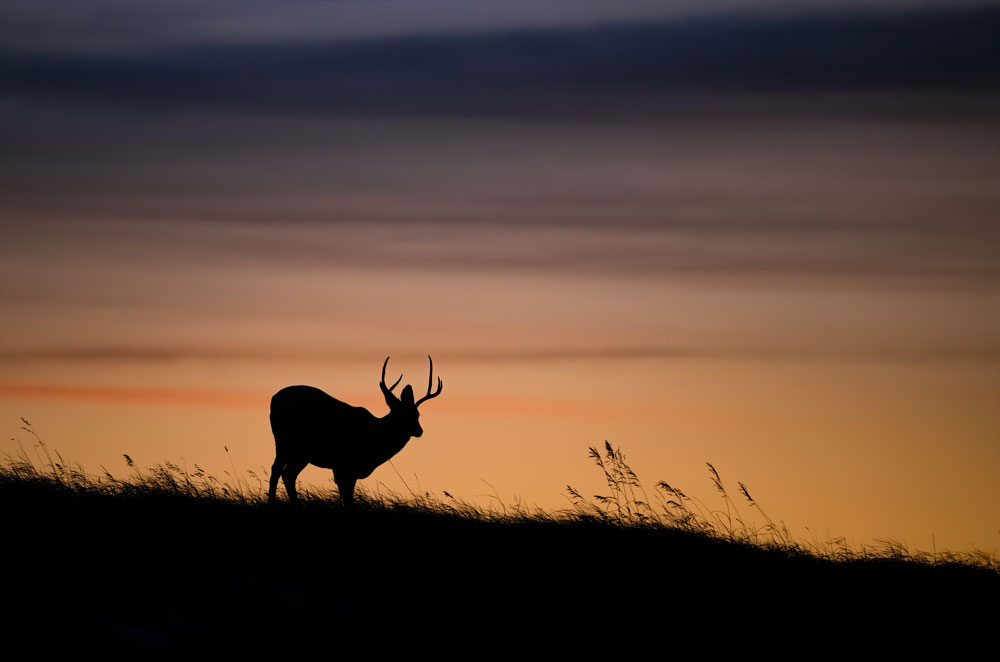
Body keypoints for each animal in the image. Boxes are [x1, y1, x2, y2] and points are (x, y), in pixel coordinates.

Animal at [266, 358, 442, 508]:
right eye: (400, 415)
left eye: (417, 414)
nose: (419, 430)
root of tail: (273, 399)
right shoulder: (343, 466)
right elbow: (347, 499)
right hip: (287, 443)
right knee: (278, 470)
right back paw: (272, 504)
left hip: (299, 452)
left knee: (287, 473)